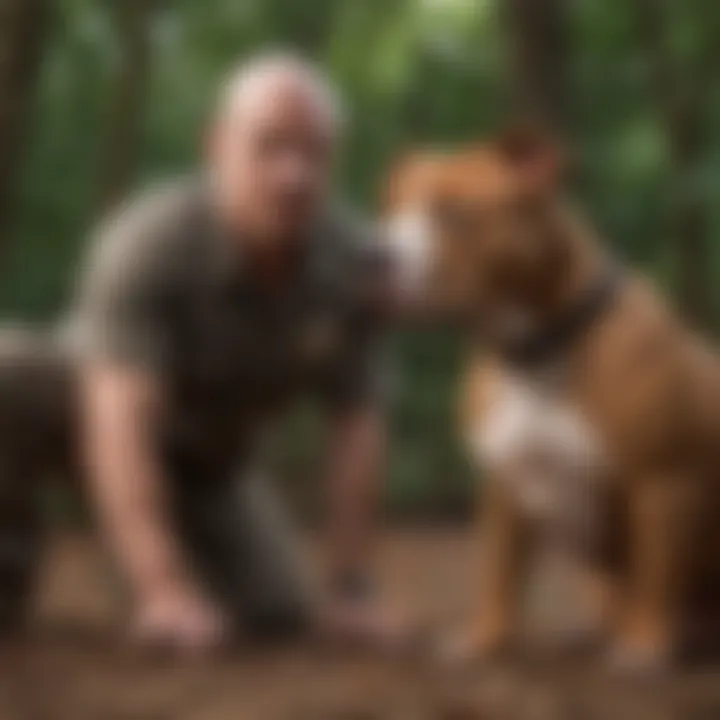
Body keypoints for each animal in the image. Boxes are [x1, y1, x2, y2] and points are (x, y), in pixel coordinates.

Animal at [386, 129, 720, 676]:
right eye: (390, 208)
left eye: (455, 213)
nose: (373, 255)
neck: (535, 346)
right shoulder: (504, 485)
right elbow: (498, 575)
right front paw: (485, 641)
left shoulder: (664, 480)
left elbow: (657, 570)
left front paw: (645, 647)